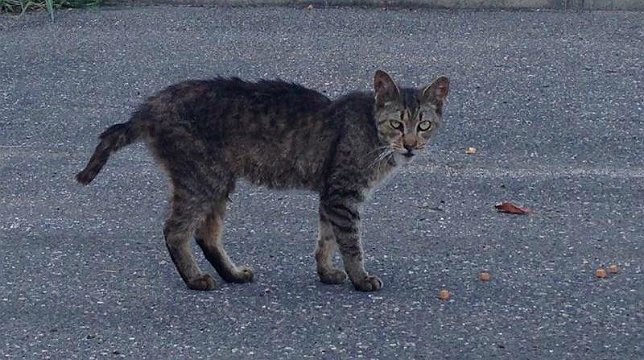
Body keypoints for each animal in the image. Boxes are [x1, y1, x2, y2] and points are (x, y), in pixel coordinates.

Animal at [76, 71, 448, 292]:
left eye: (424, 125)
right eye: (397, 124)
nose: (411, 145)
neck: (372, 133)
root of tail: (150, 106)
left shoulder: (331, 196)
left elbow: (326, 239)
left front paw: (326, 272)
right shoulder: (343, 195)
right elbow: (350, 243)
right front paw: (360, 278)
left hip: (218, 182)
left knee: (205, 234)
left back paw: (232, 274)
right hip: (202, 178)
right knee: (175, 230)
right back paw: (195, 278)